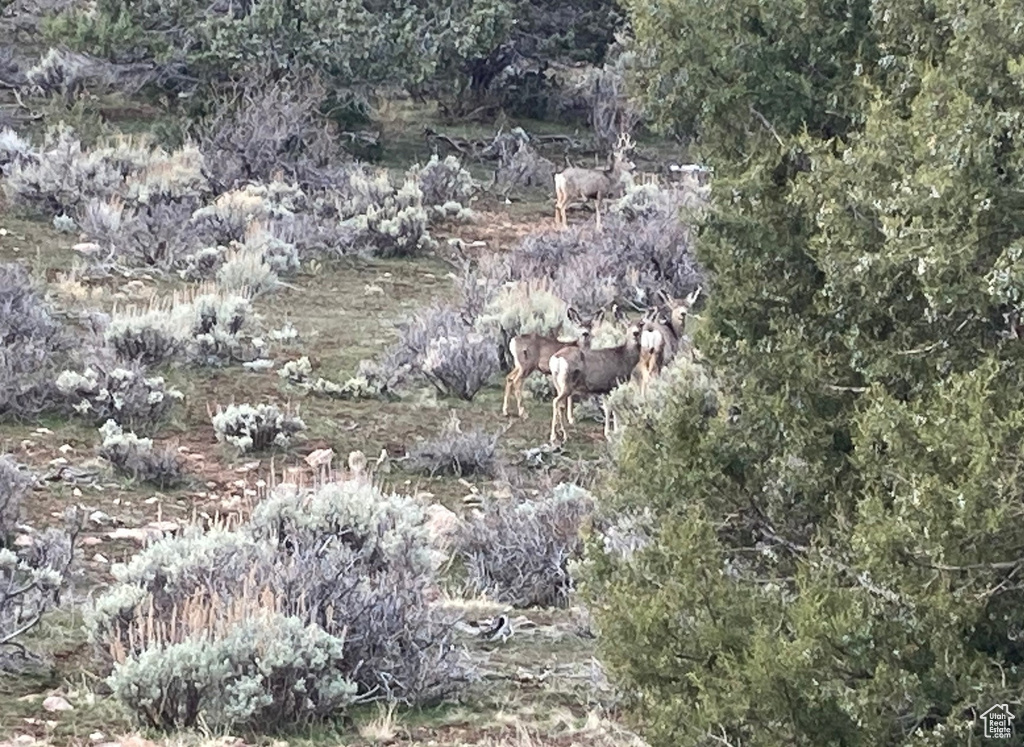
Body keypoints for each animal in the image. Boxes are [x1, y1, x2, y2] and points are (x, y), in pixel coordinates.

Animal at [552, 307, 638, 442]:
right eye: (579, 325)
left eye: (590, 325)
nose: (636, 333)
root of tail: (557, 359)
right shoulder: (614, 385)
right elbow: (613, 407)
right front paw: (613, 433)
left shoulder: (604, 389)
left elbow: (608, 408)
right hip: (566, 385)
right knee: (556, 402)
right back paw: (555, 436)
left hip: (558, 384)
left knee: (560, 404)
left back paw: (563, 434)